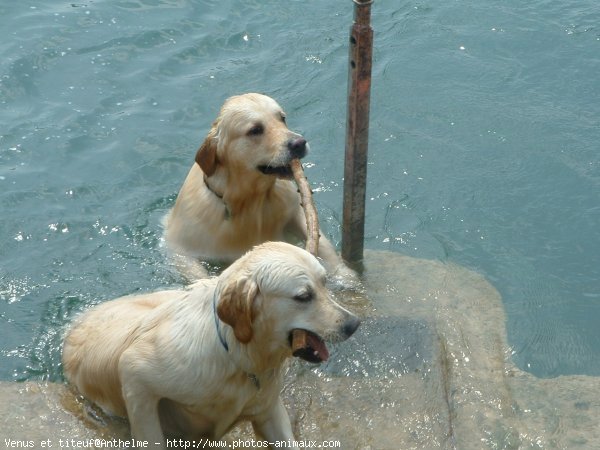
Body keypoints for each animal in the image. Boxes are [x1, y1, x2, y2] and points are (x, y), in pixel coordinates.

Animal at [62, 243, 358, 446]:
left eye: (325, 283)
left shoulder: (268, 410)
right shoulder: (136, 372)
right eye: (303, 296)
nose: (354, 324)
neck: (236, 354)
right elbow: (150, 434)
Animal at [164, 92, 356, 284]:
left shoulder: (295, 211)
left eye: (282, 118)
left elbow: (323, 246)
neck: (250, 201)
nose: (299, 143)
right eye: (255, 130)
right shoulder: (182, 250)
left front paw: (346, 277)